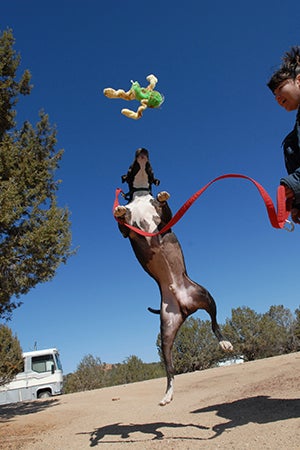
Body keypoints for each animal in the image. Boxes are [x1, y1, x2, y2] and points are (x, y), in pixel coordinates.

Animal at [113, 149, 233, 406]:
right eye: (131, 164)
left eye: (150, 165)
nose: (142, 150)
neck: (140, 197)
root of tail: (187, 307)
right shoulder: (127, 231)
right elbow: (122, 220)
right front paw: (119, 210)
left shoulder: (165, 220)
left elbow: (164, 207)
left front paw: (162, 195)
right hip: (167, 332)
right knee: (170, 368)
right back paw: (167, 395)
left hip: (207, 296)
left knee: (214, 323)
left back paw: (224, 341)